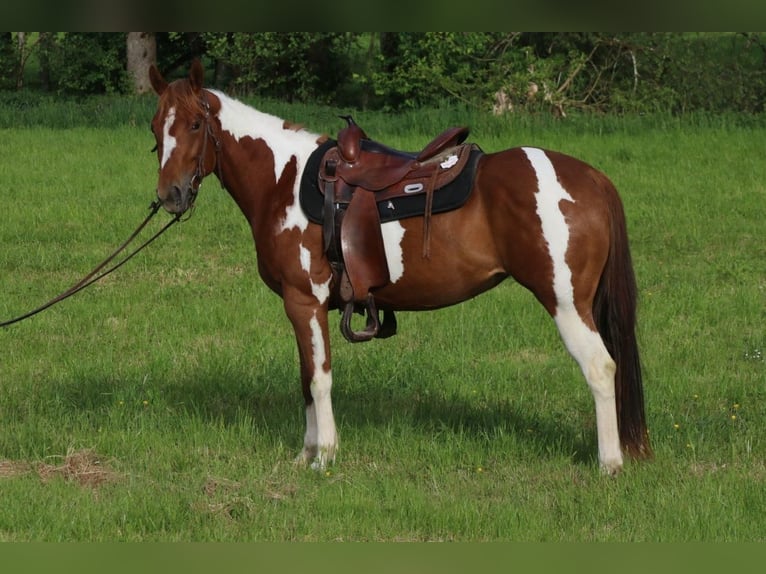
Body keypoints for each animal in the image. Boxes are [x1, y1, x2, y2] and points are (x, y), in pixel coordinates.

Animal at [148, 60, 651, 475]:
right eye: (155, 128)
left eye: (195, 124)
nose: (171, 194)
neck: (284, 181)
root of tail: (591, 178)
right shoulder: (302, 308)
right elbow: (305, 379)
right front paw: (305, 454)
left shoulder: (304, 301)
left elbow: (319, 379)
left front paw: (324, 456)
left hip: (566, 303)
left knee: (601, 367)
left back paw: (609, 464)